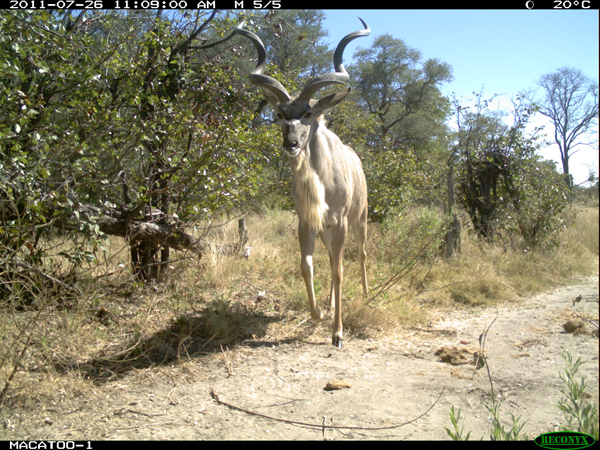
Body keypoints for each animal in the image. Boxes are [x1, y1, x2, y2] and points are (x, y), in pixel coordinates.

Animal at [236, 19, 370, 348]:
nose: (291, 144)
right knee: (332, 258)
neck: (321, 183)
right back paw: (331, 304)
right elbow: (307, 265)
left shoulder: (341, 221)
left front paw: (338, 333)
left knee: (359, 254)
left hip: (359, 220)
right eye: (280, 114)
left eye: (309, 113)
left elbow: (339, 270)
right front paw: (319, 313)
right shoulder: (307, 222)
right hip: (328, 230)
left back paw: (365, 293)